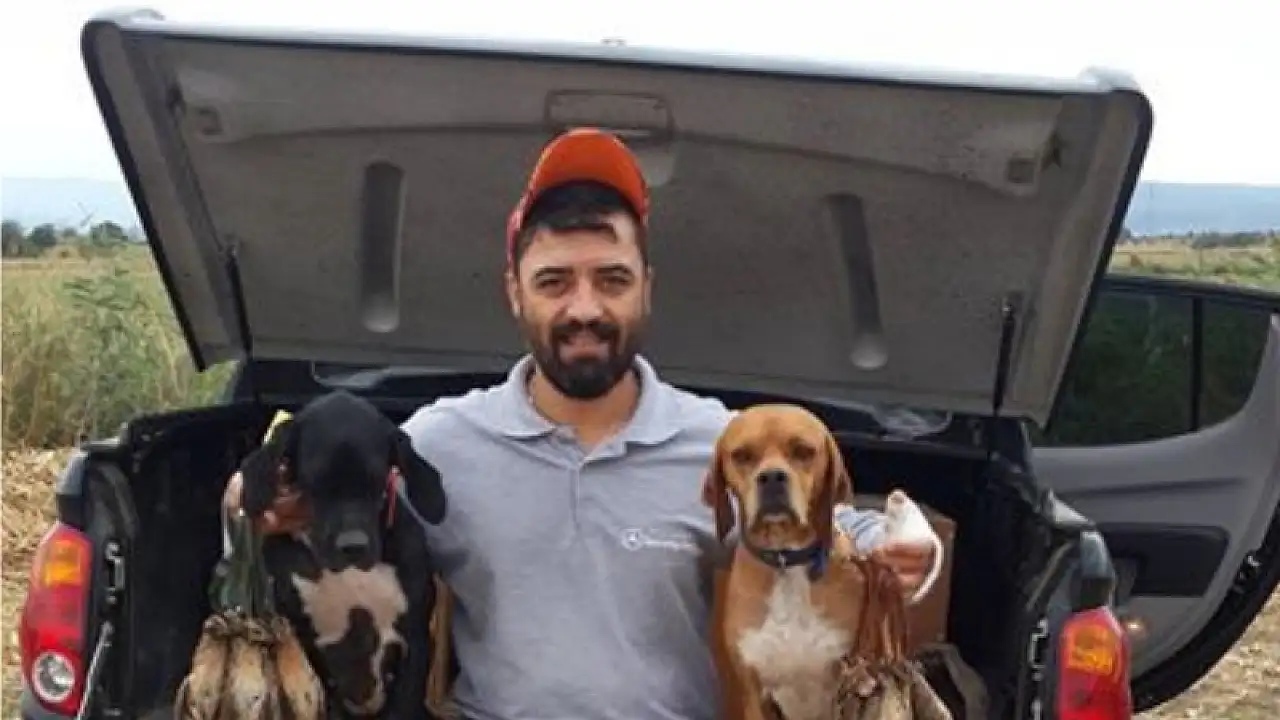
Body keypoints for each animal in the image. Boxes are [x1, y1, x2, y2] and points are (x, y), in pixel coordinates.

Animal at [703, 404, 866, 720]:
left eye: (803, 451)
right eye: (742, 455)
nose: (772, 477)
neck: (785, 561)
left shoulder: (842, 687)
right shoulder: (754, 692)